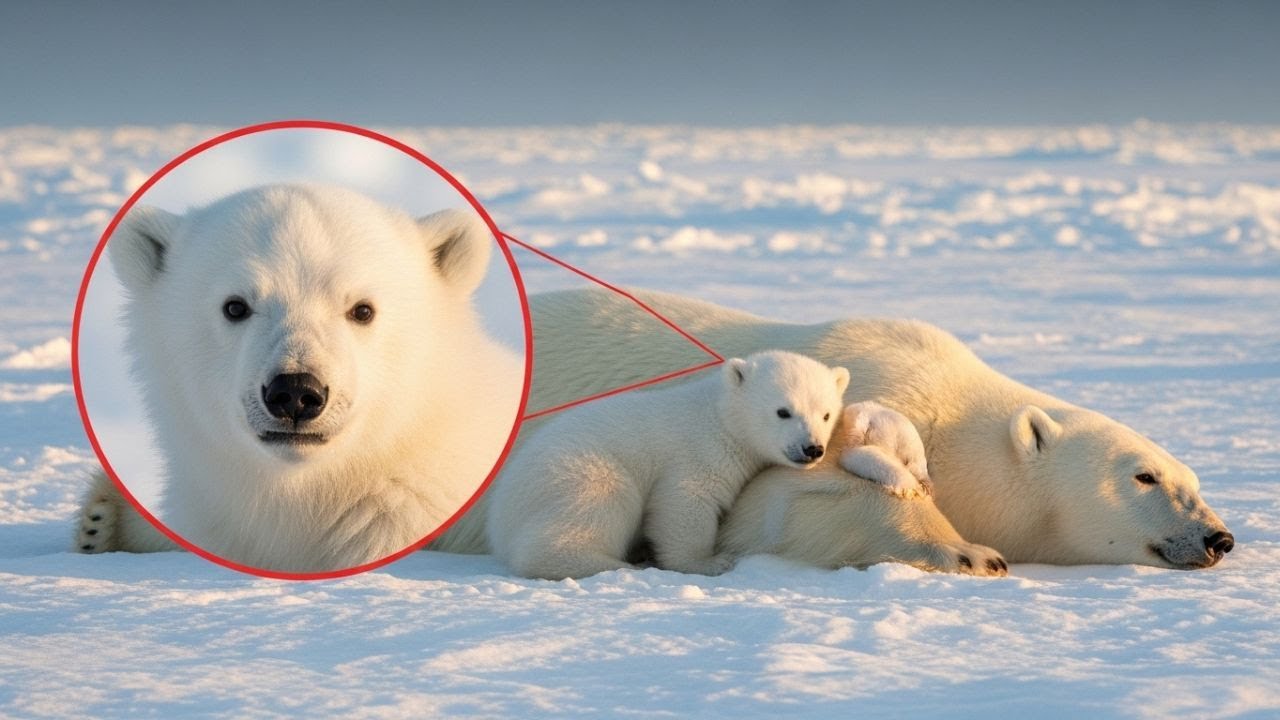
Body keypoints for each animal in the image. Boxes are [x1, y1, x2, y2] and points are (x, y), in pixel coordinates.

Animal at [487, 350, 849, 579]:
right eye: (783, 411)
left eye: (826, 414)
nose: (812, 448)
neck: (719, 417)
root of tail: (501, 518)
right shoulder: (698, 453)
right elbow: (685, 505)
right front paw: (711, 562)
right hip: (581, 474)